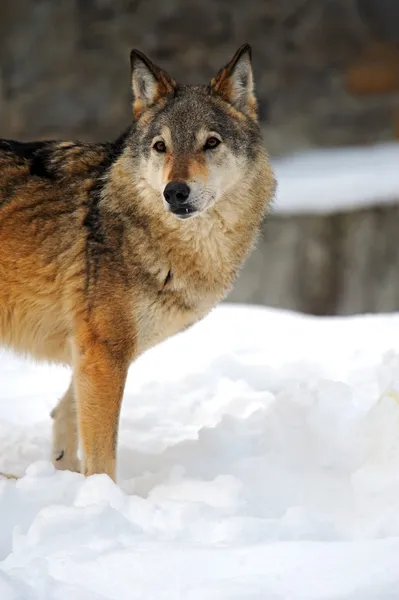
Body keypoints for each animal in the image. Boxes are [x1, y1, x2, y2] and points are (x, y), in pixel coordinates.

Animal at [0, 43, 276, 482]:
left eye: (211, 143)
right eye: (160, 146)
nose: (175, 192)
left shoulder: (91, 350)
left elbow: (64, 415)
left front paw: (66, 476)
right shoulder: (104, 351)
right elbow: (102, 455)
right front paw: (103, 496)